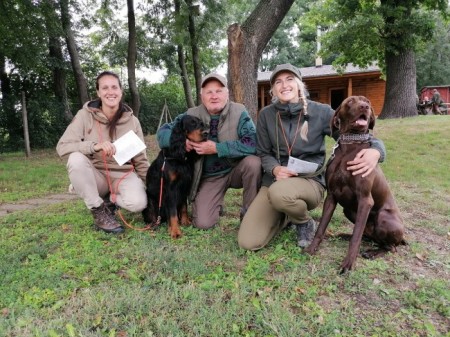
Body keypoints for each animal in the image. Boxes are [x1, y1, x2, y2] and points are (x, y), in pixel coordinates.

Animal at [306, 95, 404, 272]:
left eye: (368, 101)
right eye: (350, 101)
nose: (365, 107)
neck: (350, 145)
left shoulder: (365, 200)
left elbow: (356, 238)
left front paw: (348, 263)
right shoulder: (331, 197)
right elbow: (321, 227)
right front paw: (312, 248)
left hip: (383, 217)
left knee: (391, 247)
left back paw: (372, 252)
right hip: (349, 211)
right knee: (369, 236)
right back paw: (346, 236)